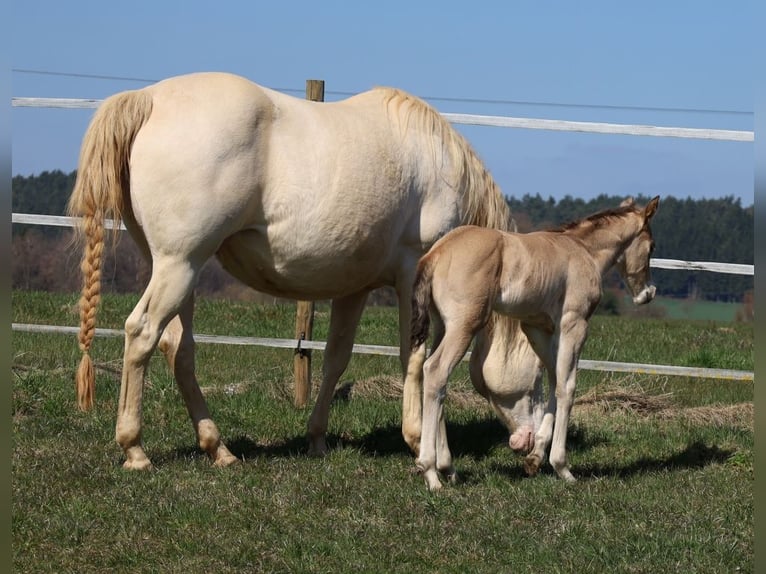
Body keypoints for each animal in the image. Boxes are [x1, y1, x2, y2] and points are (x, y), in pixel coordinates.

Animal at [66, 71, 545, 471]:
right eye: (539, 374)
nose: (531, 449)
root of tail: (148, 99)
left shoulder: (355, 288)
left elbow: (336, 359)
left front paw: (317, 439)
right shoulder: (414, 274)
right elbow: (417, 359)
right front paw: (420, 442)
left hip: (175, 267)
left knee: (177, 348)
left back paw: (219, 449)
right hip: (180, 264)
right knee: (143, 333)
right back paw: (135, 449)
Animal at [406, 196, 659, 490]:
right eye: (652, 246)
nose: (648, 294)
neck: (583, 250)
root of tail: (435, 254)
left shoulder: (537, 328)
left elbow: (555, 381)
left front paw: (535, 458)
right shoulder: (574, 324)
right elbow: (567, 387)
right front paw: (562, 467)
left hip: (442, 327)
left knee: (432, 376)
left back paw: (448, 468)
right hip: (464, 327)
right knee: (436, 372)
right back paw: (431, 472)